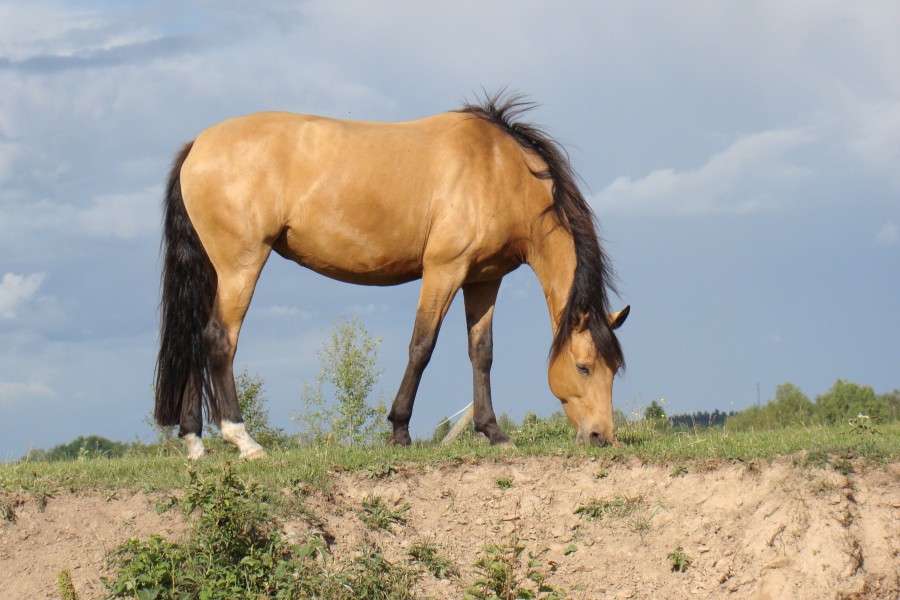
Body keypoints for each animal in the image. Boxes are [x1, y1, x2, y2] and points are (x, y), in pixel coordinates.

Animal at [154, 93, 629, 459]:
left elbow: (482, 353)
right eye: (584, 367)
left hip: (214, 271)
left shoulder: (482, 279)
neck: (499, 170)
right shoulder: (444, 270)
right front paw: (400, 431)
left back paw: (195, 443)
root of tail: (197, 145)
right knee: (219, 339)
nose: (601, 436)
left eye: (614, 369)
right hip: (241, 265)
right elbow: (421, 346)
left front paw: (493, 432)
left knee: (195, 337)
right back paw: (244, 440)